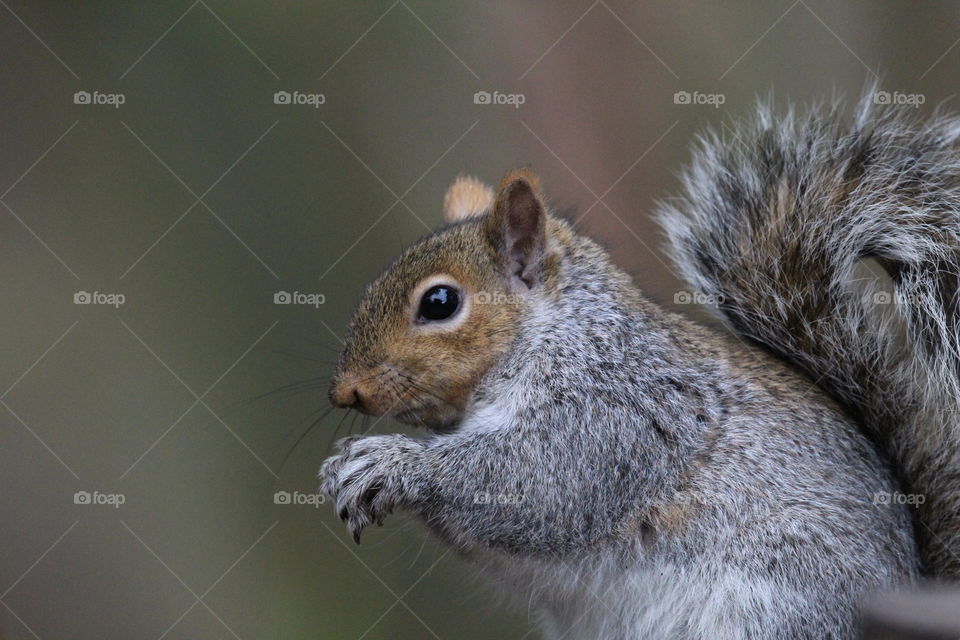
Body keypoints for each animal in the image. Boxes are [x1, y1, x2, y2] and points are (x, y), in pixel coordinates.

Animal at [318, 92, 956, 636]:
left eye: (440, 303)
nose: (346, 392)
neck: (553, 334)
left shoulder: (616, 406)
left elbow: (538, 483)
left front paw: (391, 464)